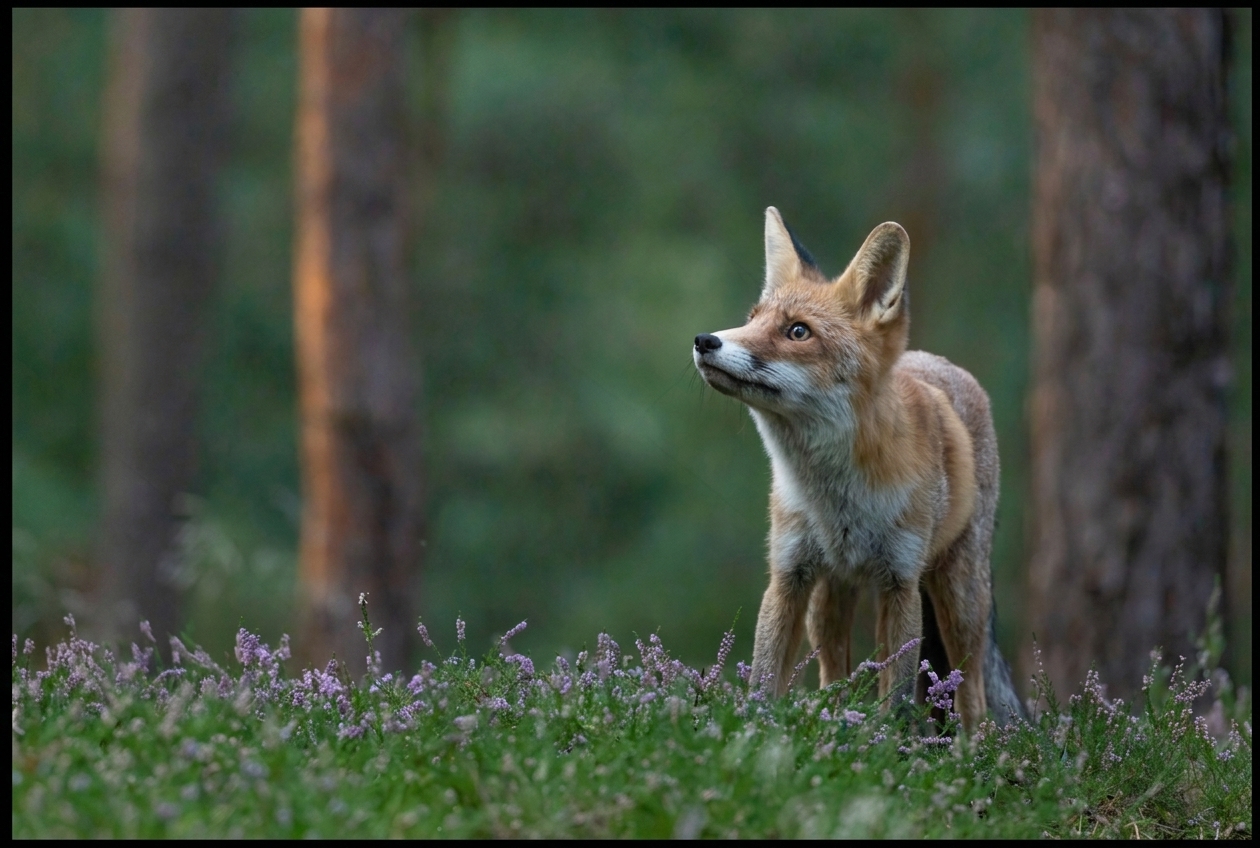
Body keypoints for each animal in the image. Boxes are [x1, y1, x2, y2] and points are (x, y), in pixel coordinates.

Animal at [693, 208, 1024, 730]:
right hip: (832, 597)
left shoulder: (899, 581)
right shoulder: (789, 574)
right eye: (752, 320)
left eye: (798, 331)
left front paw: (891, 741)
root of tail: (938, 361)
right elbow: (765, 678)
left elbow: (898, 693)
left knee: (971, 693)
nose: (705, 341)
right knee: (835, 675)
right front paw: (752, 731)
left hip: (957, 600)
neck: (838, 499)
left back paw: (977, 745)